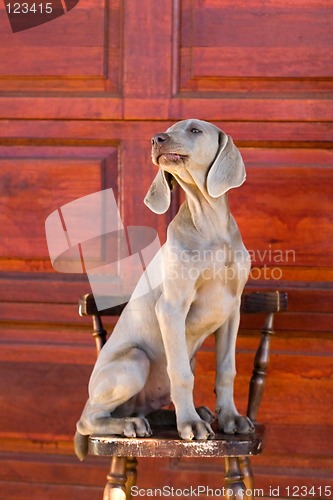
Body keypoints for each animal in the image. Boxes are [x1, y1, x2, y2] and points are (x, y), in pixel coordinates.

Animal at [74, 118, 253, 460]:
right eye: (168, 129)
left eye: (195, 130)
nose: (156, 139)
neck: (209, 226)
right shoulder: (171, 307)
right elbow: (181, 375)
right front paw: (190, 426)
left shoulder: (232, 310)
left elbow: (226, 369)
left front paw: (230, 418)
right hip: (134, 361)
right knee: (89, 419)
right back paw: (135, 423)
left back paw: (177, 416)